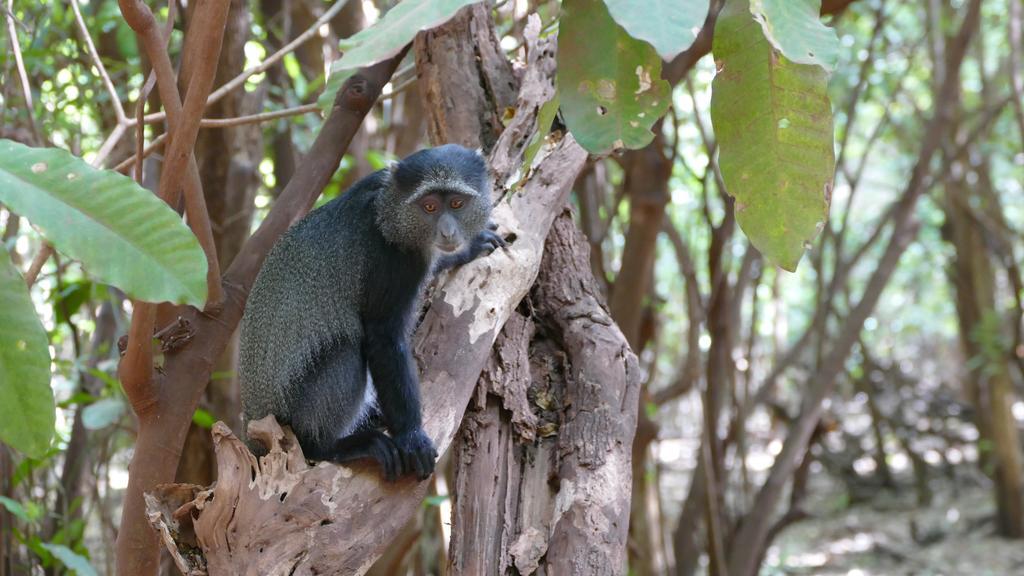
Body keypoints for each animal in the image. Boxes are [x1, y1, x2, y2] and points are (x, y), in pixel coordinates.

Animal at [239, 144, 503, 479]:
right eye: (429, 206)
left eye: (456, 203)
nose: (447, 232)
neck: (390, 209)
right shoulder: (391, 259)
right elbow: (383, 338)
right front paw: (412, 438)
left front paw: (467, 249)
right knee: (348, 351)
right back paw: (329, 445)